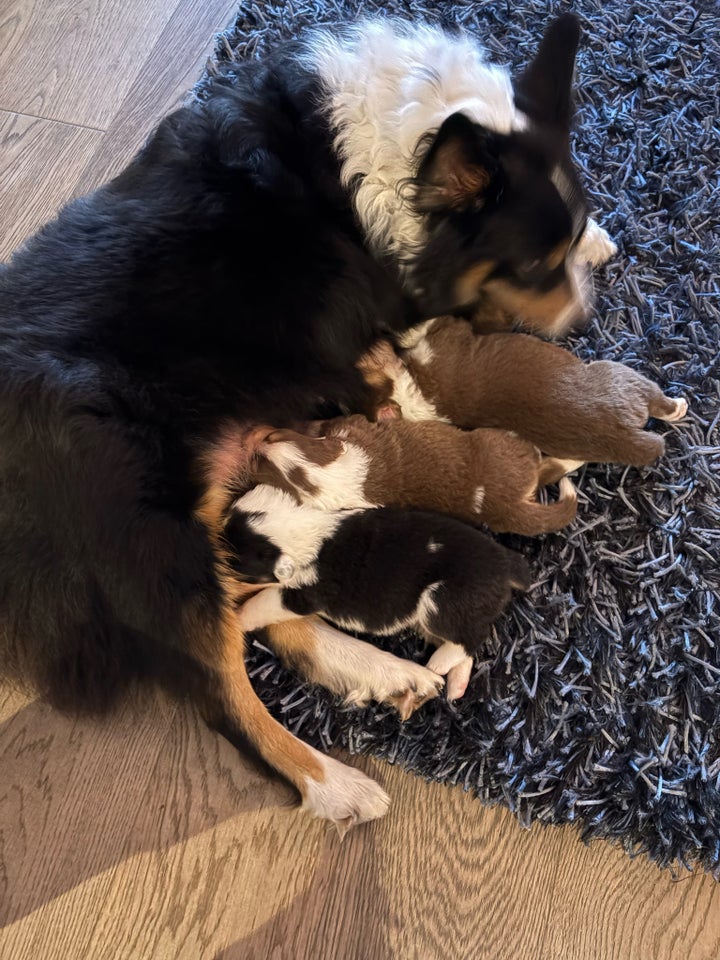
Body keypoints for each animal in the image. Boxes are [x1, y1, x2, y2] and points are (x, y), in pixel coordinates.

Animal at [226, 484, 536, 700]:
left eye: (234, 558)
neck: (303, 529)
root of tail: (505, 562)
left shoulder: (301, 595)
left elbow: (264, 602)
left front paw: (240, 617)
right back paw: (456, 686)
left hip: (440, 600)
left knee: (471, 638)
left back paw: (438, 665)